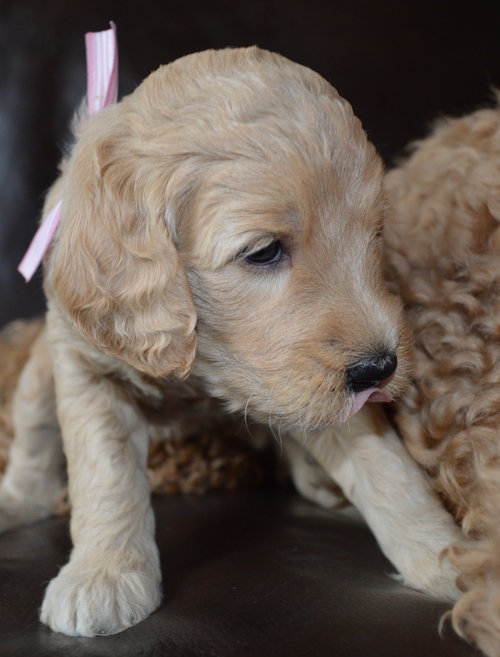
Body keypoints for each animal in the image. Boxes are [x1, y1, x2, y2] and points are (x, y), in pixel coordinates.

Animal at [0, 47, 464, 636]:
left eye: (375, 235)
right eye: (264, 251)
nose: (381, 369)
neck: (199, 365)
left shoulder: (309, 382)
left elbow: (386, 467)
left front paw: (448, 557)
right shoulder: (86, 368)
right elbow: (104, 474)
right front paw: (104, 574)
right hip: (41, 374)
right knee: (33, 449)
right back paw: (14, 502)